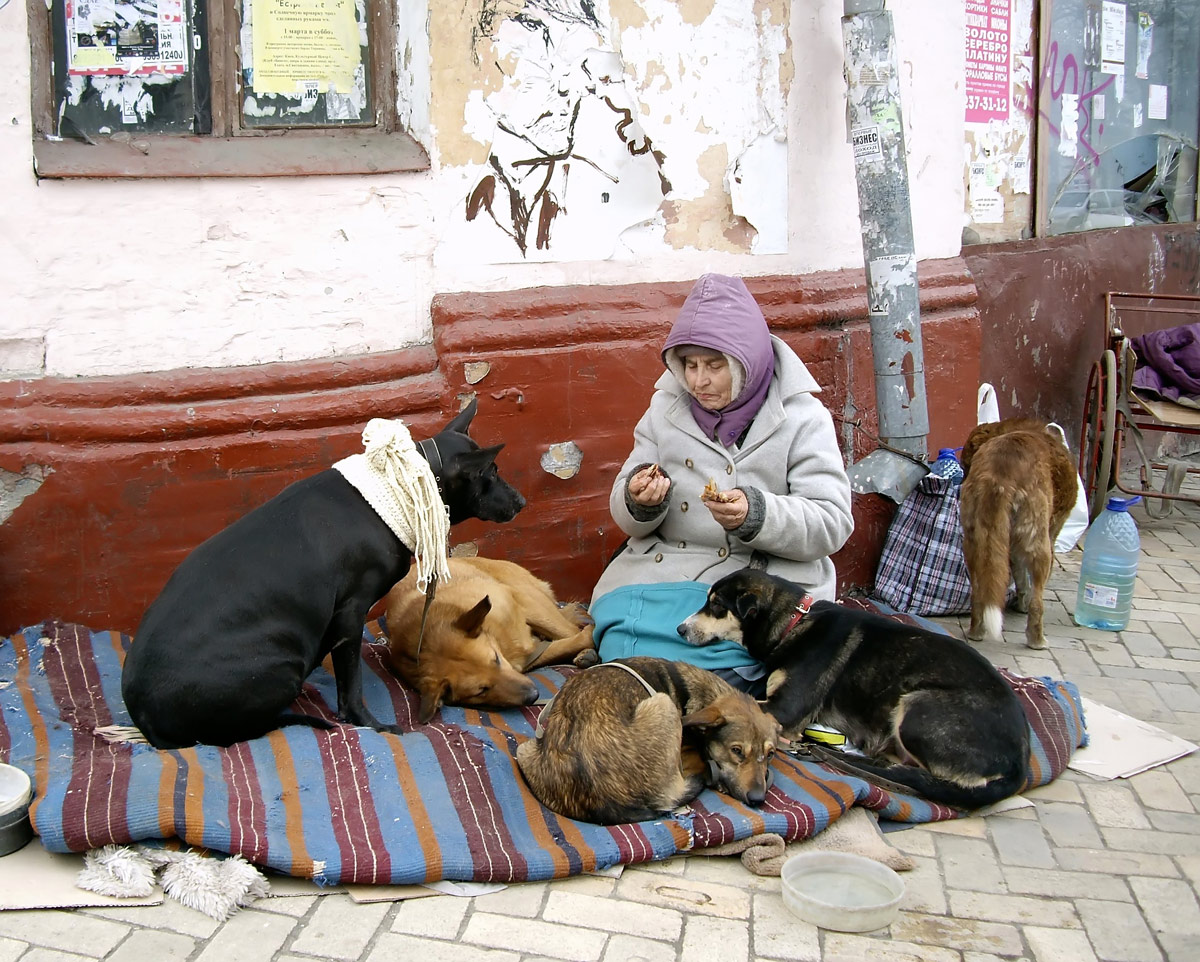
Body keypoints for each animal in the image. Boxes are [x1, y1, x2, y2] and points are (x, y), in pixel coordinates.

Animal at [120, 398, 525, 748]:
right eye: (490, 473)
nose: (521, 501)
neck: (401, 483)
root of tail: (146, 720)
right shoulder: (351, 613)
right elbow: (351, 683)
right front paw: (370, 724)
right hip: (282, 665)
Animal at [386, 554, 597, 719]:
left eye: (495, 659)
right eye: (481, 691)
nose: (533, 696)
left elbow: (575, 636)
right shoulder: (527, 655)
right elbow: (559, 647)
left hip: (531, 598)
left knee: (569, 627)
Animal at [681, 570, 1027, 810]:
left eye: (715, 605)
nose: (680, 629)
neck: (794, 623)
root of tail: (1020, 762)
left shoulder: (783, 708)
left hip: (917, 708)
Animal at [955, 415, 1080, 647]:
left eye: (966, 464)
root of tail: (999, 476)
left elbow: (1020, 580)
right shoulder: (1051, 535)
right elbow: (1030, 586)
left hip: (973, 544)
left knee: (978, 593)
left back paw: (976, 632)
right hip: (1037, 543)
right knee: (1037, 602)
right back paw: (1037, 640)